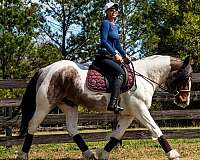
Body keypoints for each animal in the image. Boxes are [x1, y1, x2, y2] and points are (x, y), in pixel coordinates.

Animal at [16, 55, 192, 160]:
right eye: (185, 77)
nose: (185, 101)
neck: (145, 76)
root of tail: (45, 70)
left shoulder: (128, 114)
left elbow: (117, 135)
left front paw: (103, 153)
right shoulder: (140, 109)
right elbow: (155, 129)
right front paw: (173, 154)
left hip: (69, 105)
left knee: (72, 129)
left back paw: (89, 154)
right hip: (45, 105)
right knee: (32, 125)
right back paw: (23, 154)